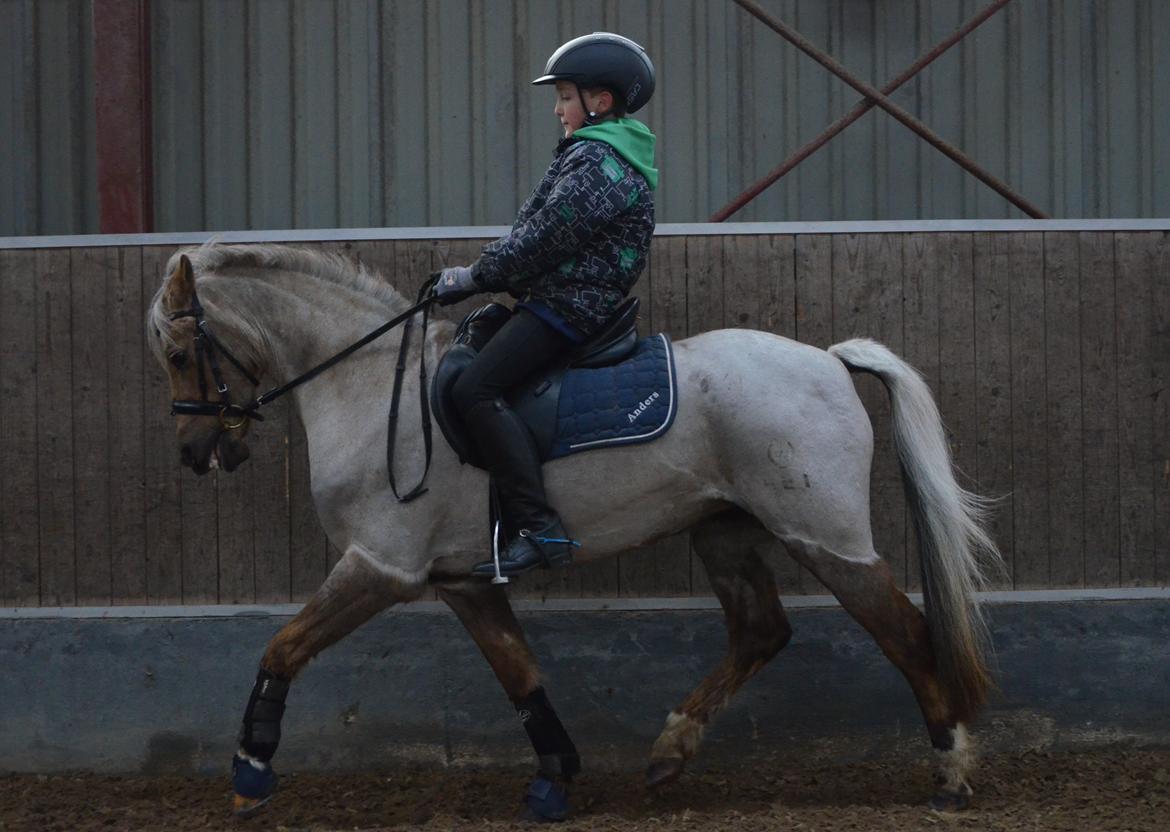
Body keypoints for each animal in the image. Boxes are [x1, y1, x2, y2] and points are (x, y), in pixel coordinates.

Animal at [147, 243, 1001, 819]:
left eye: (183, 352)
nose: (194, 451)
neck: (367, 387)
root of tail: (828, 360)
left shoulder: (380, 566)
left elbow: (282, 648)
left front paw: (250, 770)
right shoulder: (460, 583)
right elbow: (519, 673)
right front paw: (555, 776)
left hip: (823, 535)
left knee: (903, 632)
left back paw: (952, 772)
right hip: (724, 533)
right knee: (761, 630)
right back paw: (668, 753)